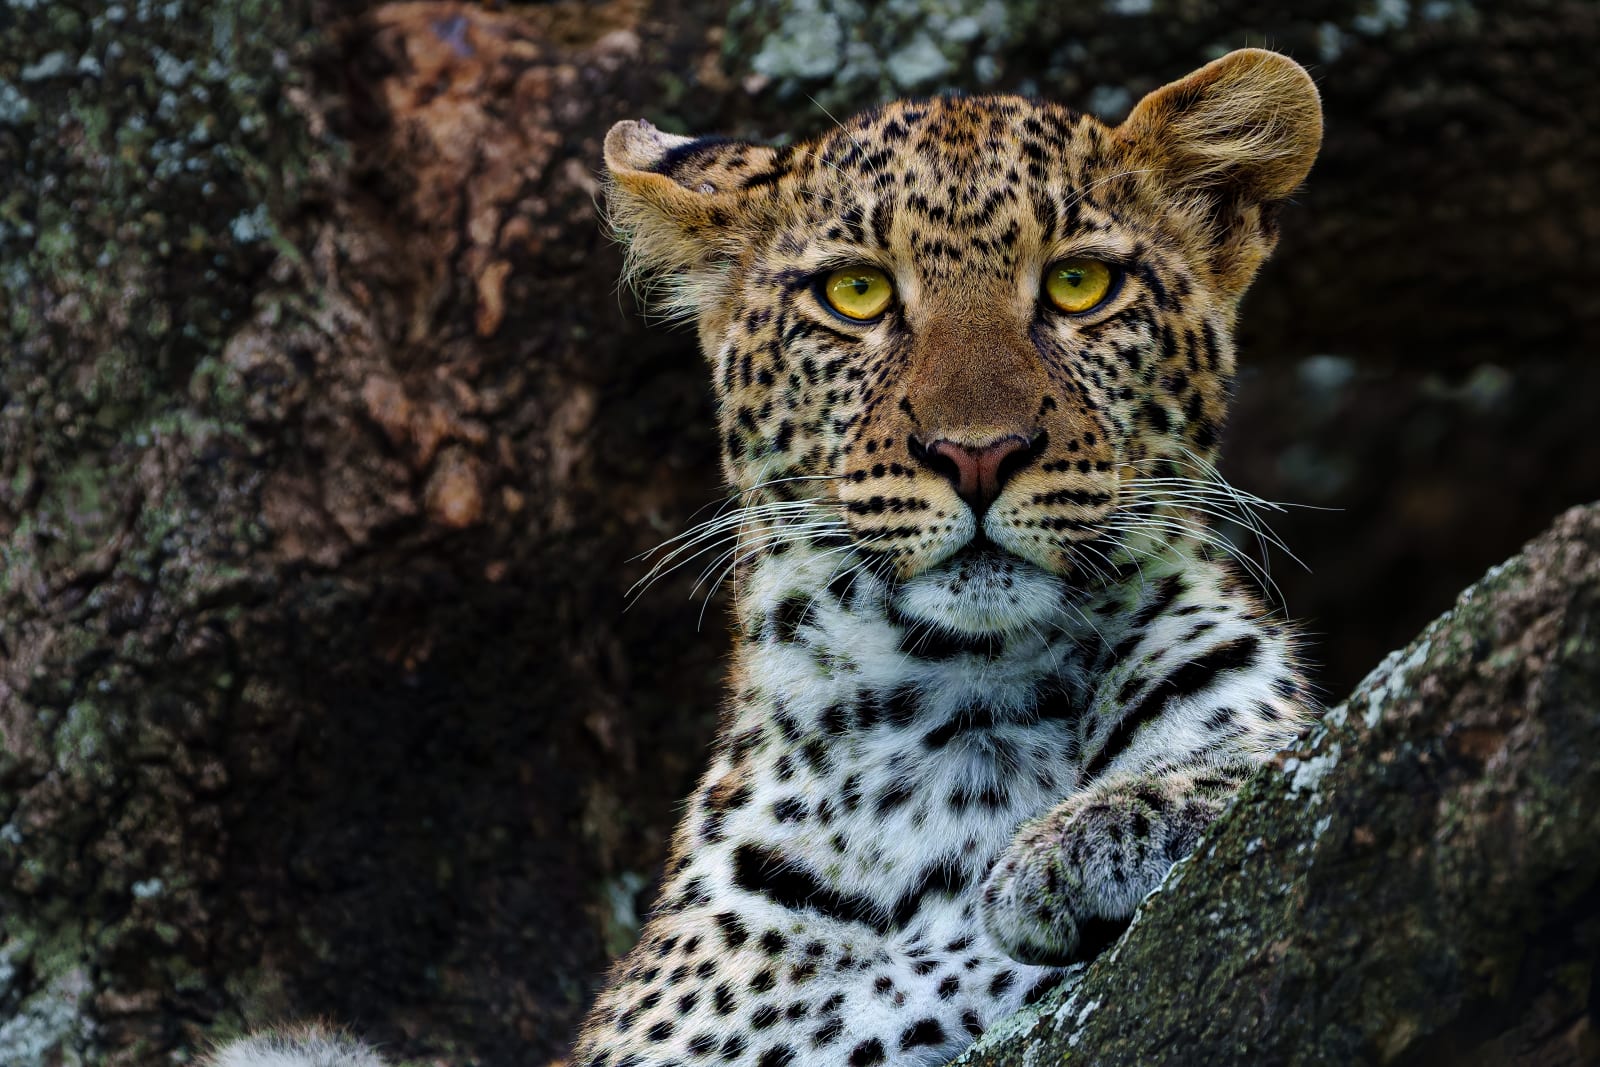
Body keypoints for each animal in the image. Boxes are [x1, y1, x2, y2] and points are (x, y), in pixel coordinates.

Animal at [208, 47, 1322, 1067]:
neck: (974, 699)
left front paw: (1072, 848)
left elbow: (1255, 764)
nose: (978, 452)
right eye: (857, 293)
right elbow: (875, 987)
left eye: (1080, 284)